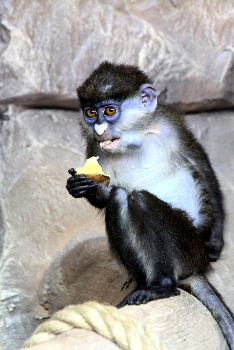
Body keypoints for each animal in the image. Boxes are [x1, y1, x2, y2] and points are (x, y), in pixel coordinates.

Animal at [66, 60, 234, 348]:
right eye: (90, 113)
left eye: (110, 111)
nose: (99, 129)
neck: (136, 137)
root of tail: (196, 270)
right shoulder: (95, 147)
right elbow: (108, 195)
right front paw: (81, 187)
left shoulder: (171, 124)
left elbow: (203, 168)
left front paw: (216, 243)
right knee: (121, 199)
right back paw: (148, 283)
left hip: (189, 247)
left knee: (141, 200)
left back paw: (161, 285)